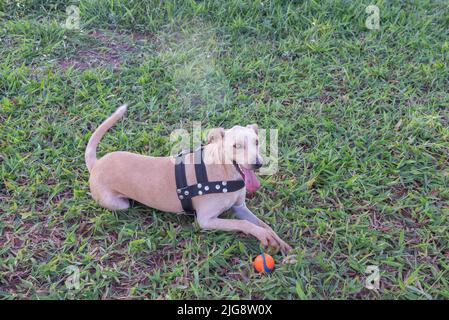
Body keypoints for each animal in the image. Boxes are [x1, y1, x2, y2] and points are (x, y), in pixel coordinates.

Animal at [86, 105, 292, 252]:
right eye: (236, 146)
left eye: (257, 142)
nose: (258, 164)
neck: (224, 172)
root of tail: (96, 165)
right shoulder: (206, 220)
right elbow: (242, 224)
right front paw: (262, 235)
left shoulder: (240, 207)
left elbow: (262, 223)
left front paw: (277, 240)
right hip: (120, 204)